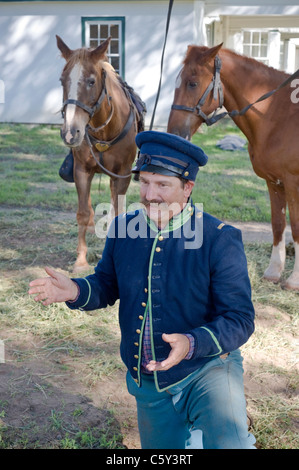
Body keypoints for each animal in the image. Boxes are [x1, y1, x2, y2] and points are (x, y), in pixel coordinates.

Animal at [58, 35, 144, 272]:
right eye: (62, 80)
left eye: (91, 81)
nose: (71, 132)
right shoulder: (81, 171)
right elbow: (83, 213)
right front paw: (80, 261)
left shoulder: (121, 175)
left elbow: (118, 212)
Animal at [169, 46, 299, 292]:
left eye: (192, 83)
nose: (174, 132)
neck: (277, 114)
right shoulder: (274, 182)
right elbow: (278, 224)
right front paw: (273, 272)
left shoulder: (293, 184)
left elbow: (295, 227)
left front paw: (294, 280)